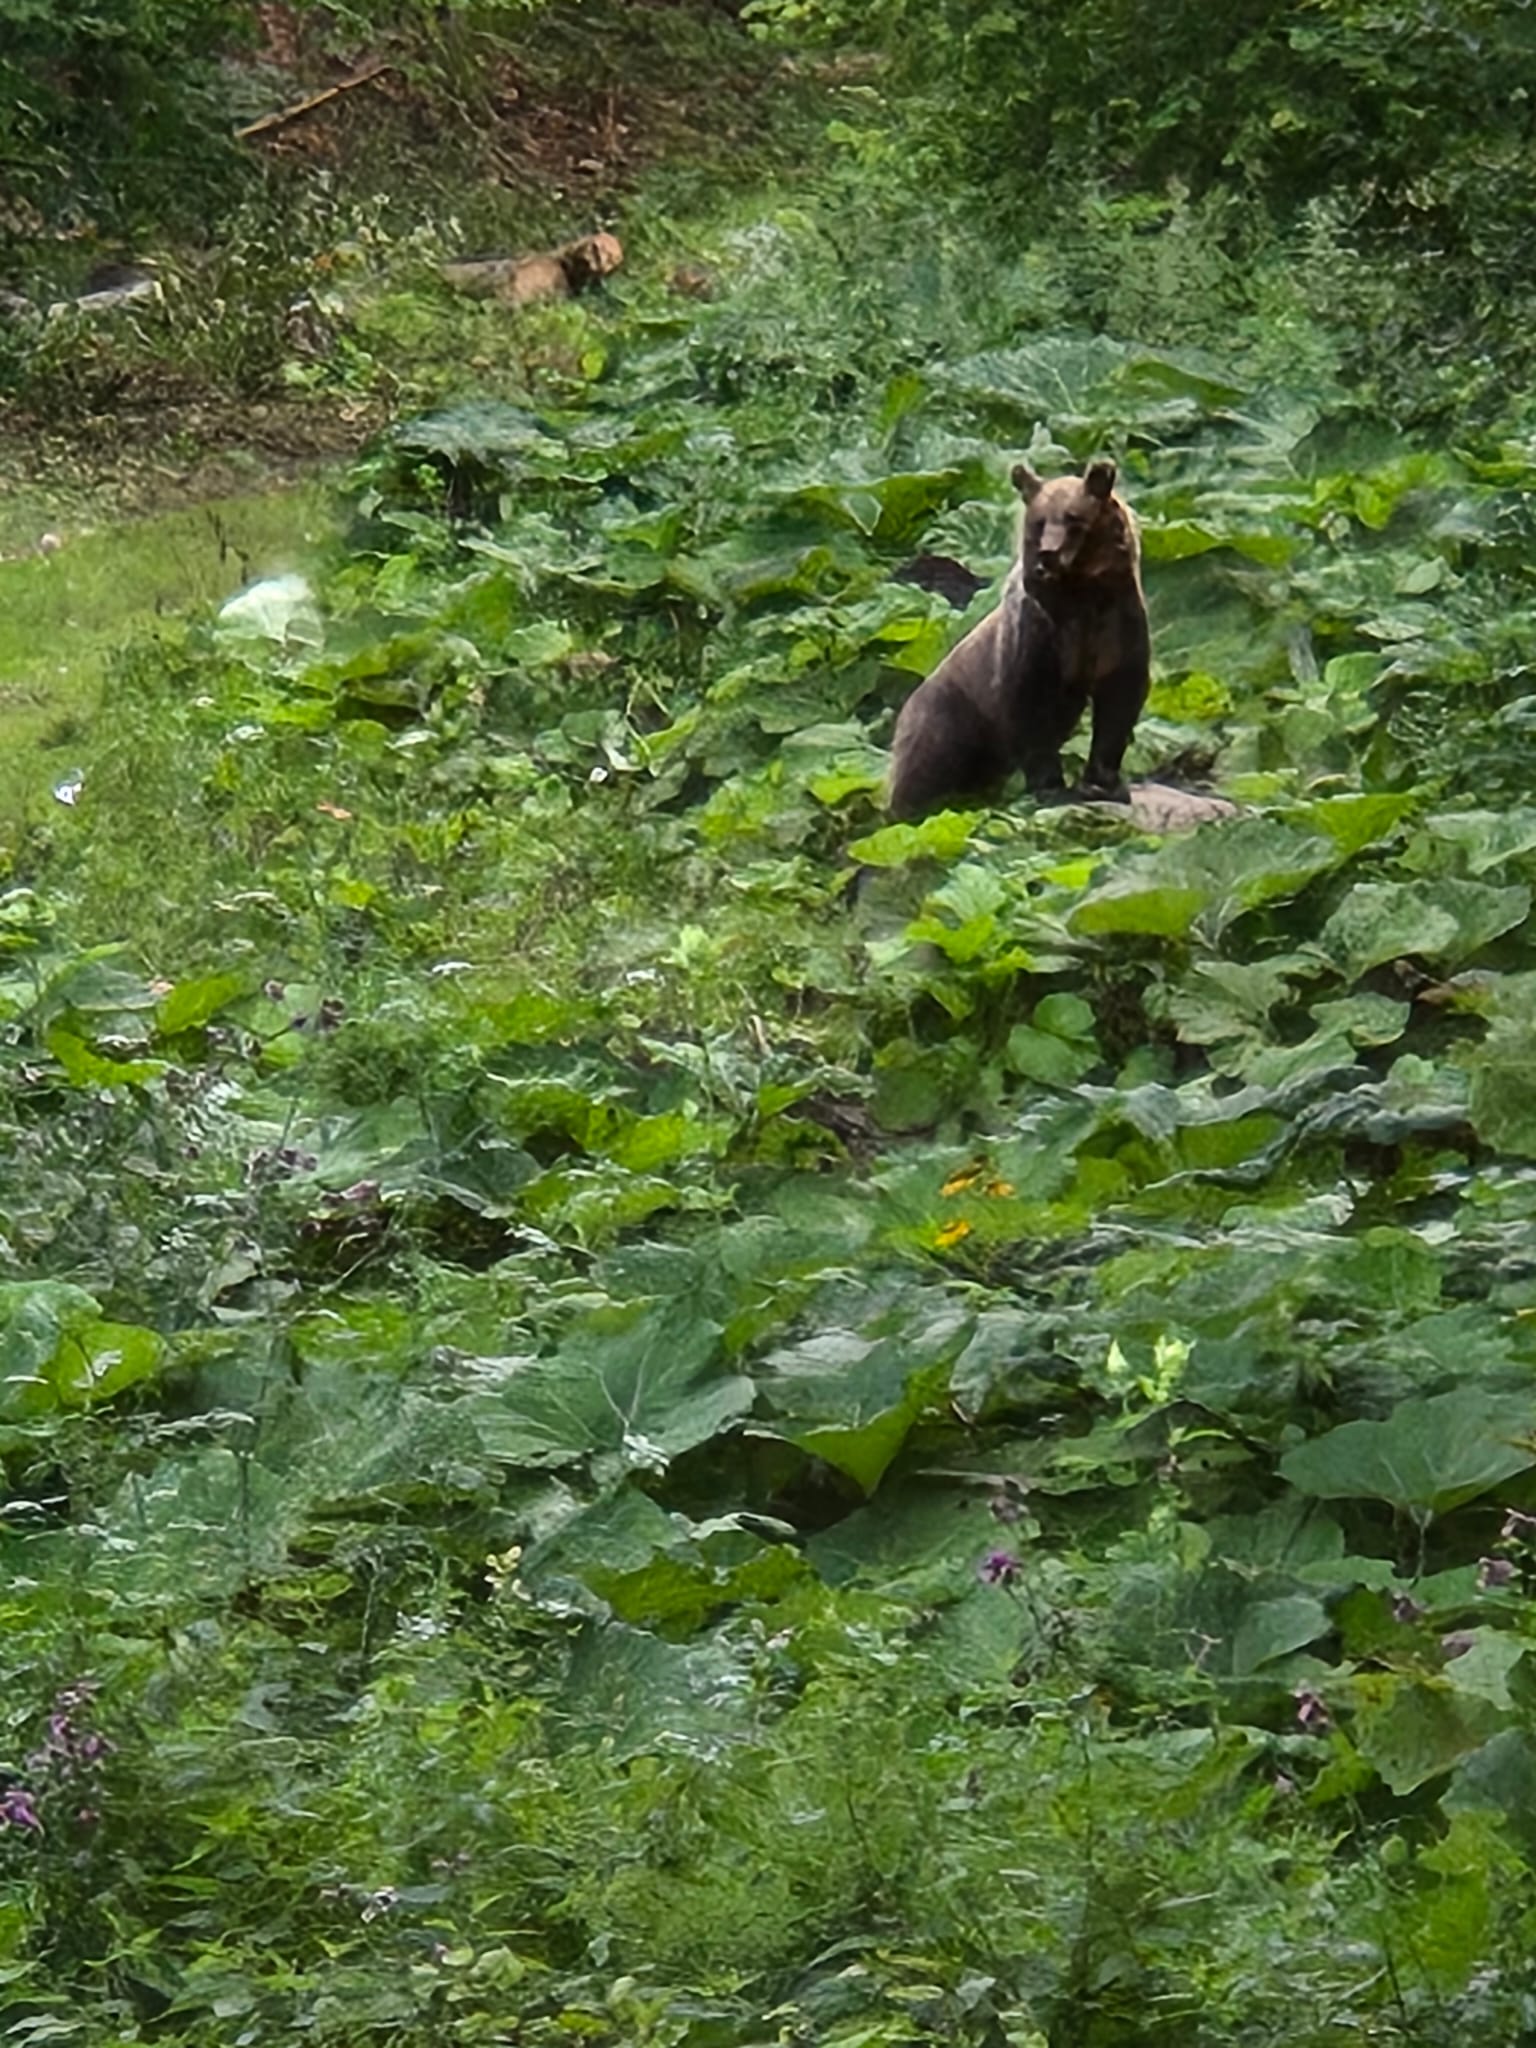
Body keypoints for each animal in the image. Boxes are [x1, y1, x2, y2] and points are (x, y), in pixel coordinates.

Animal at [885, 458, 1150, 820]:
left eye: (1073, 518)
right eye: (1039, 521)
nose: (1048, 553)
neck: (1082, 595)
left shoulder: (1118, 625)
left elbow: (1119, 701)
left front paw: (1104, 784)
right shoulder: (1038, 635)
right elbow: (1030, 706)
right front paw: (1052, 788)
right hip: (949, 715)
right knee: (924, 768)